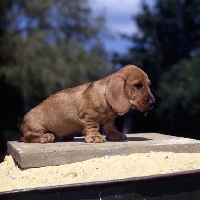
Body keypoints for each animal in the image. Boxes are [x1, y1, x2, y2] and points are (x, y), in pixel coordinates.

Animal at [19, 65, 155, 143]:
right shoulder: (88, 115)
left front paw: (115, 135)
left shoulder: (109, 119)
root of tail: (23, 123)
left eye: (149, 85)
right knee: (28, 138)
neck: (104, 96)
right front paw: (95, 137)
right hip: (36, 128)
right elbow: (93, 126)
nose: (153, 103)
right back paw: (45, 137)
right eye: (138, 85)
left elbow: (110, 127)